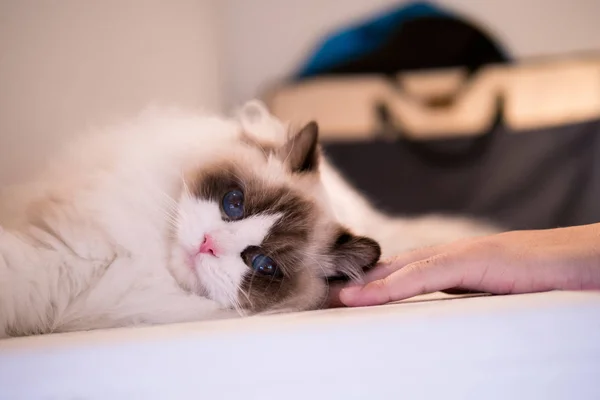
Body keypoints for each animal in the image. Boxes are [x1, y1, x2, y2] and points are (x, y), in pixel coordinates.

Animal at [0, 100, 496, 338]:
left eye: (262, 265)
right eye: (234, 203)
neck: (140, 263)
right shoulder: (58, 248)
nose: (208, 244)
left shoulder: (60, 269)